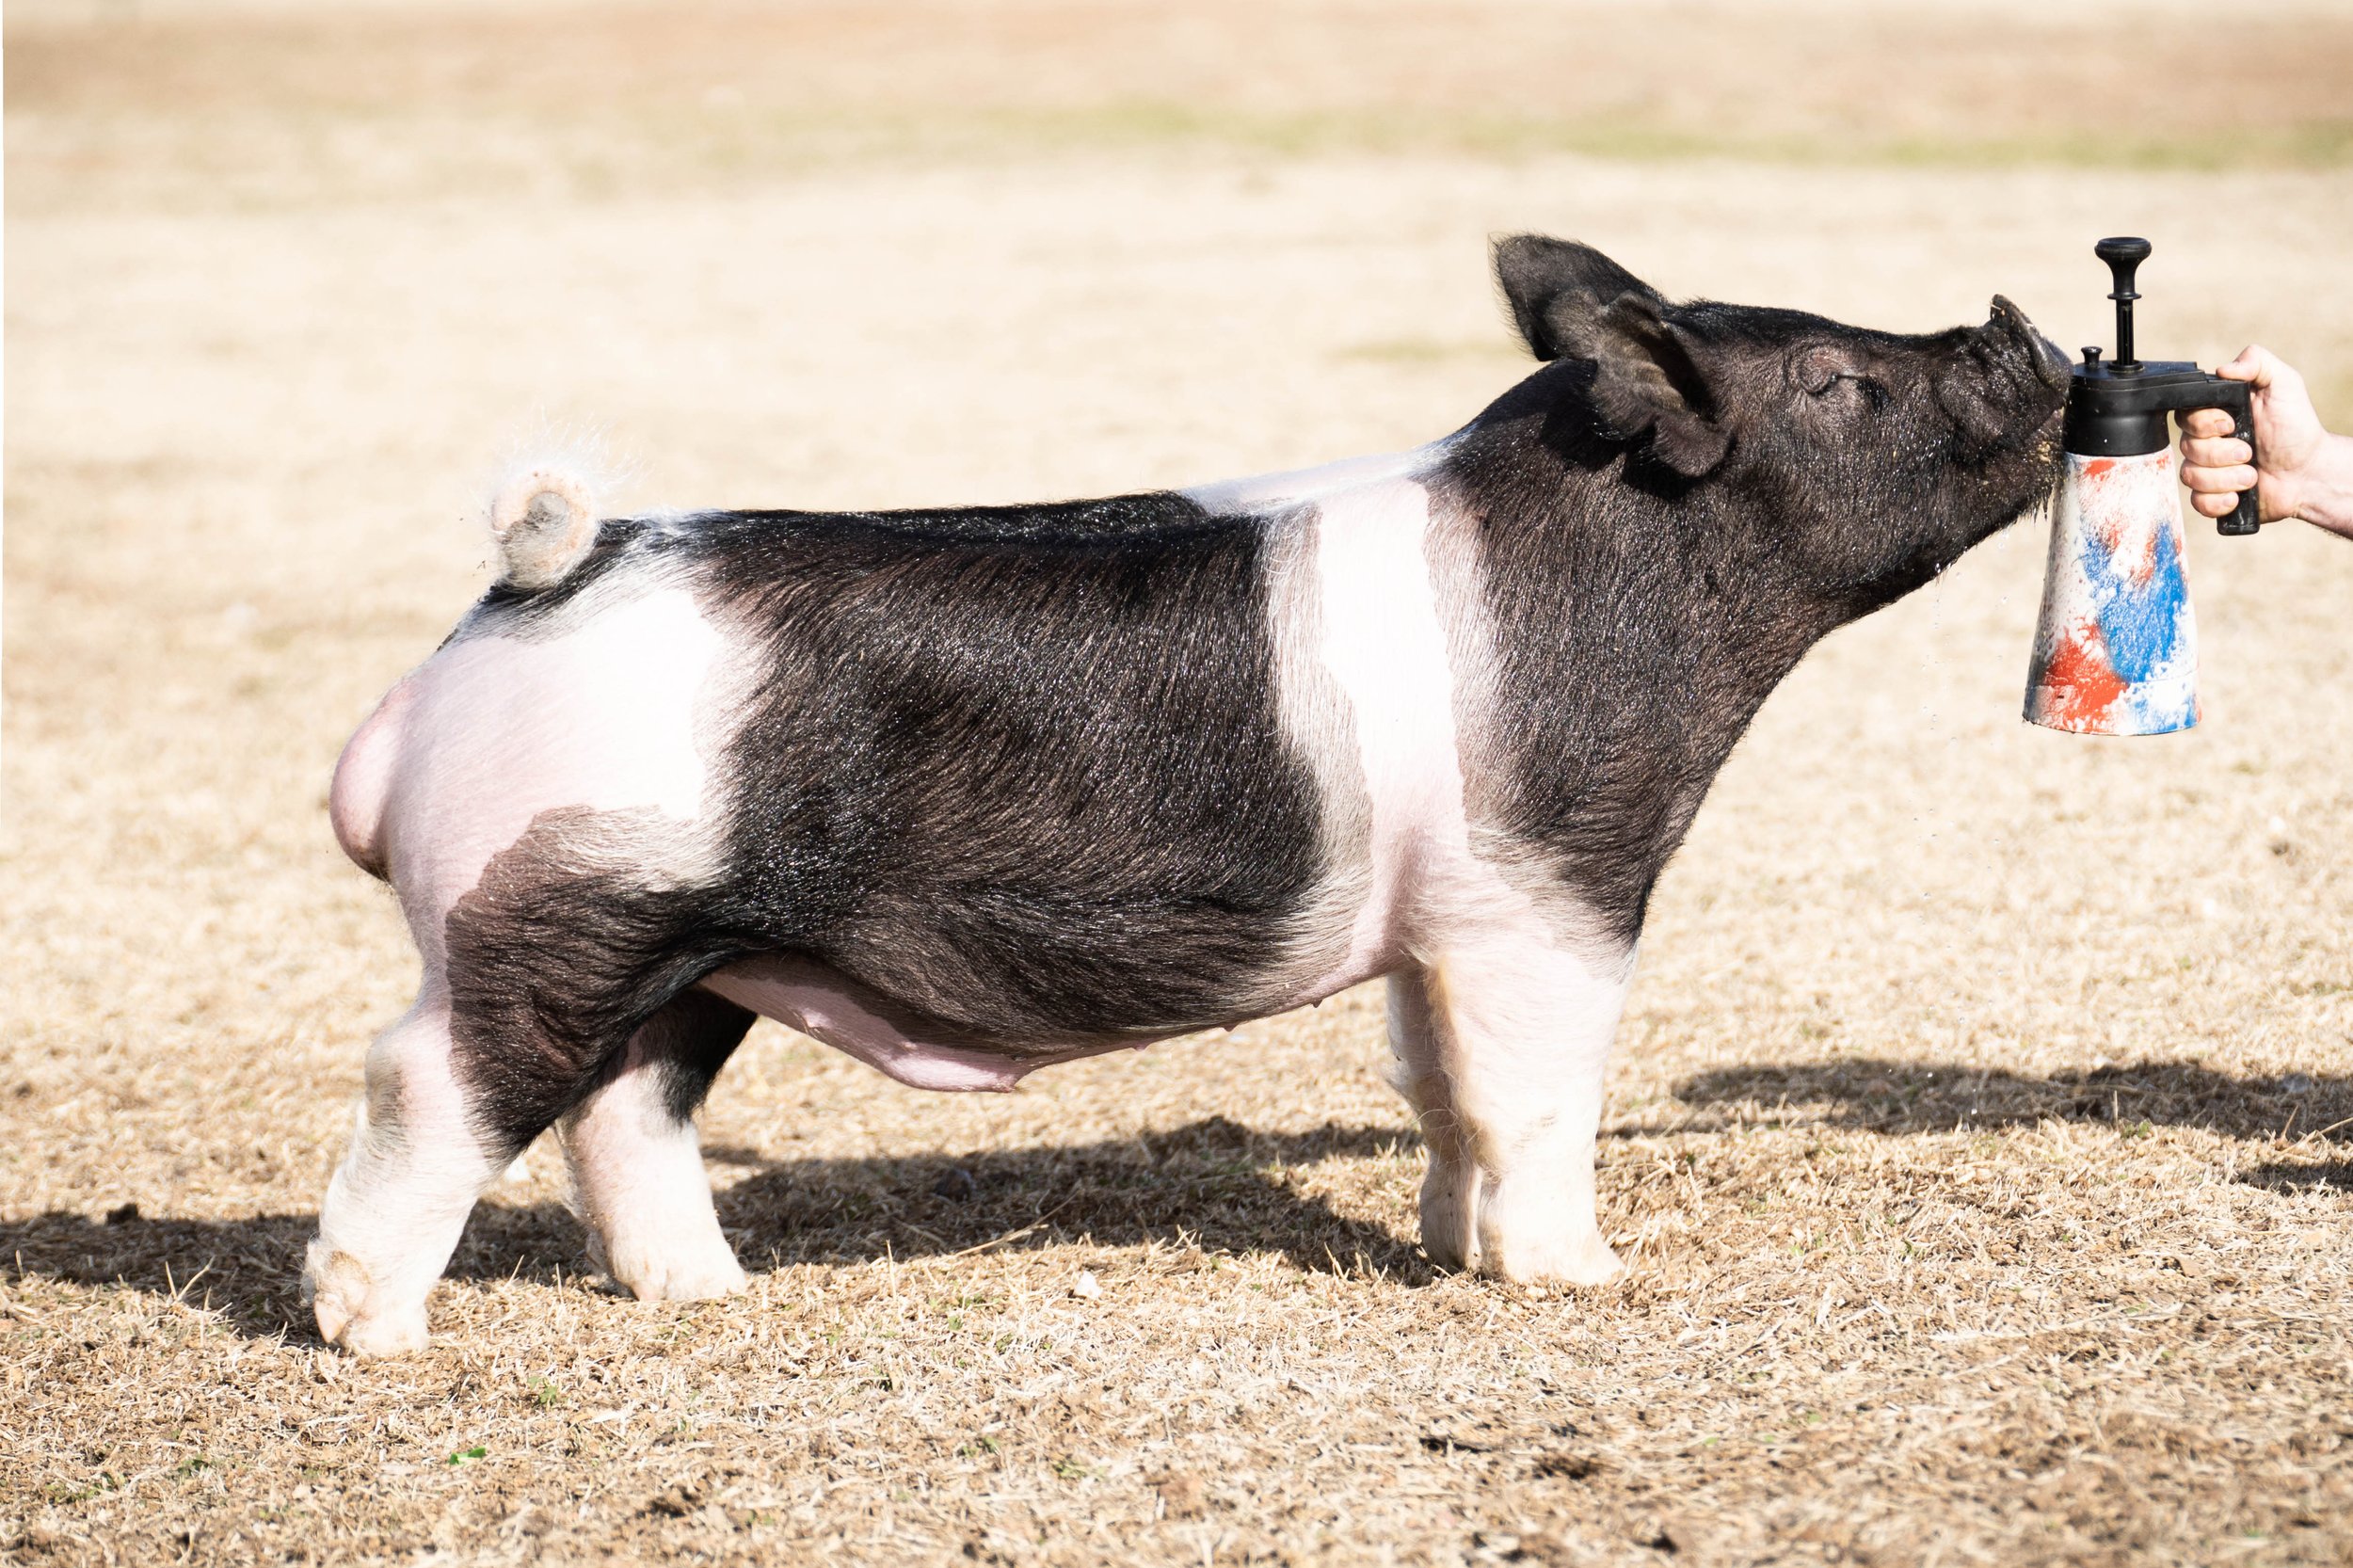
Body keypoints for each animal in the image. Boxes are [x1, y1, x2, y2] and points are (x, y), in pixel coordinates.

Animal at [308, 237, 2069, 1354]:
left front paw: (1452, 1253)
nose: (2021, 322)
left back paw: (704, 1299)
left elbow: (1437, 1088)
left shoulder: (1440, 917)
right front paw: (1579, 1276)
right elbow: (1534, 1092)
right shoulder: (1551, 886)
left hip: (692, 940)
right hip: (561, 905)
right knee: (430, 1077)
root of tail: (538, 577)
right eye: (1832, 377)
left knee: (624, 1105)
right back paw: (371, 1332)